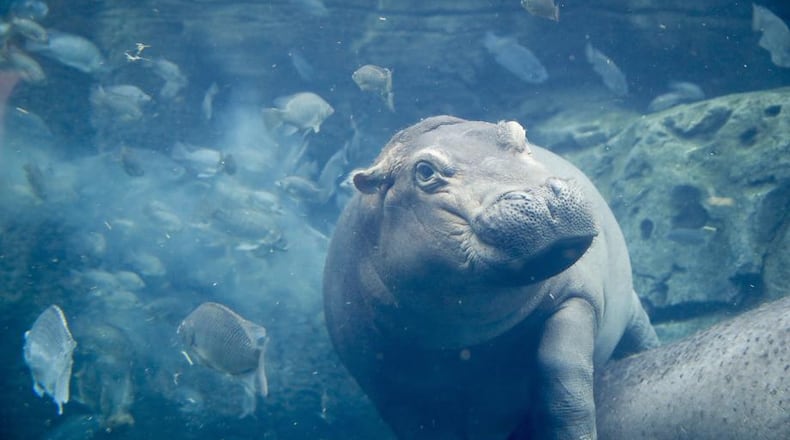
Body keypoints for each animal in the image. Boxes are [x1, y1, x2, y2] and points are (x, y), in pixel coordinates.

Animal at [323, 116, 659, 439]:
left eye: (519, 135)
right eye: (425, 171)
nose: (542, 198)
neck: (468, 333)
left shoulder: (575, 298)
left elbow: (563, 379)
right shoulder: (386, 384)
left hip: (630, 308)